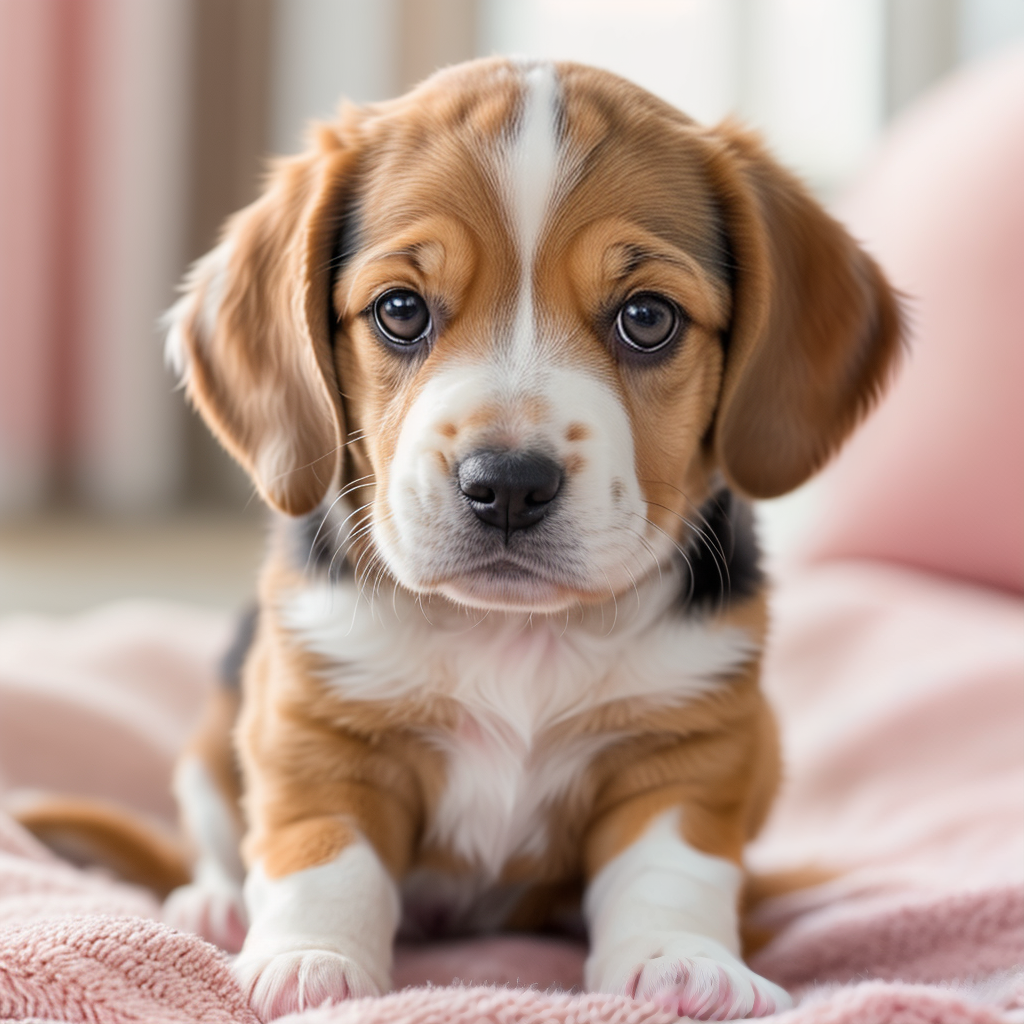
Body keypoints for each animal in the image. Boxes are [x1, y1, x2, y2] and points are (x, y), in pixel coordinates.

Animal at [159, 58, 897, 1024]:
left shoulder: (689, 748)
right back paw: (211, 903)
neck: (514, 632)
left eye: (647, 318)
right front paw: (309, 960)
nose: (507, 483)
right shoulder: (314, 726)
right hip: (212, 739)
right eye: (400, 310)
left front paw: (686, 961)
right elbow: (323, 855)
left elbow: (675, 867)